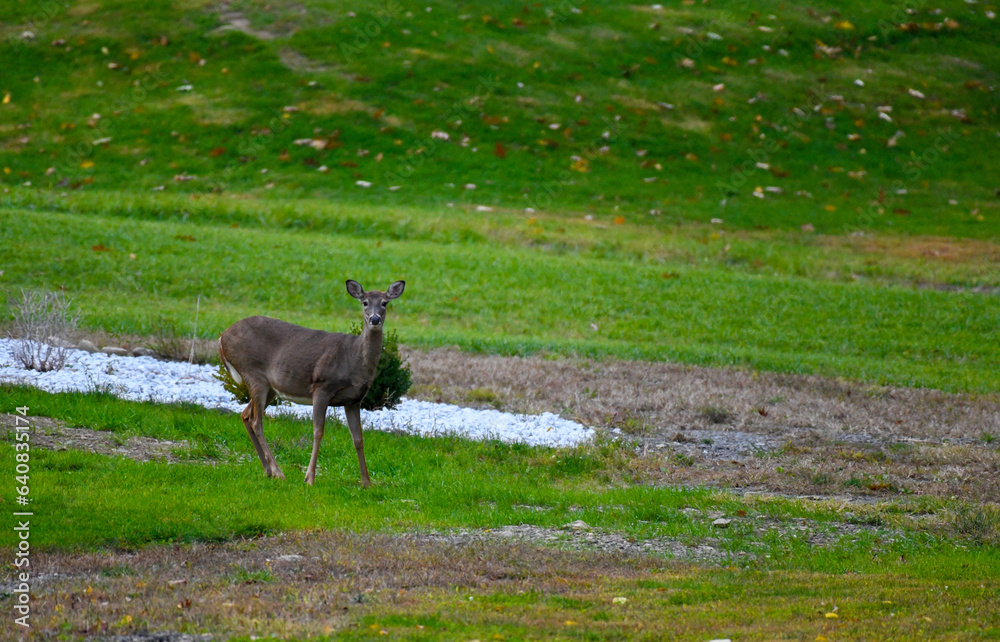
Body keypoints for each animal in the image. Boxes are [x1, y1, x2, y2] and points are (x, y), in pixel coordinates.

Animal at [218, 280, 405, 487]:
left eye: (384, 303)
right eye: (364, 302)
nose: (375, 319)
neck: (353, 359)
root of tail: (221, 337)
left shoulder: (354, 400)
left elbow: (358, 438)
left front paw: (366, 483)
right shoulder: (322, 387)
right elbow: (318, 431)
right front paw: (309, 478)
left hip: (270, 387)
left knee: (245, 414)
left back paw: (268, 470)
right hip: (253, 373)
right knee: (256, 420)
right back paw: (279, 472)